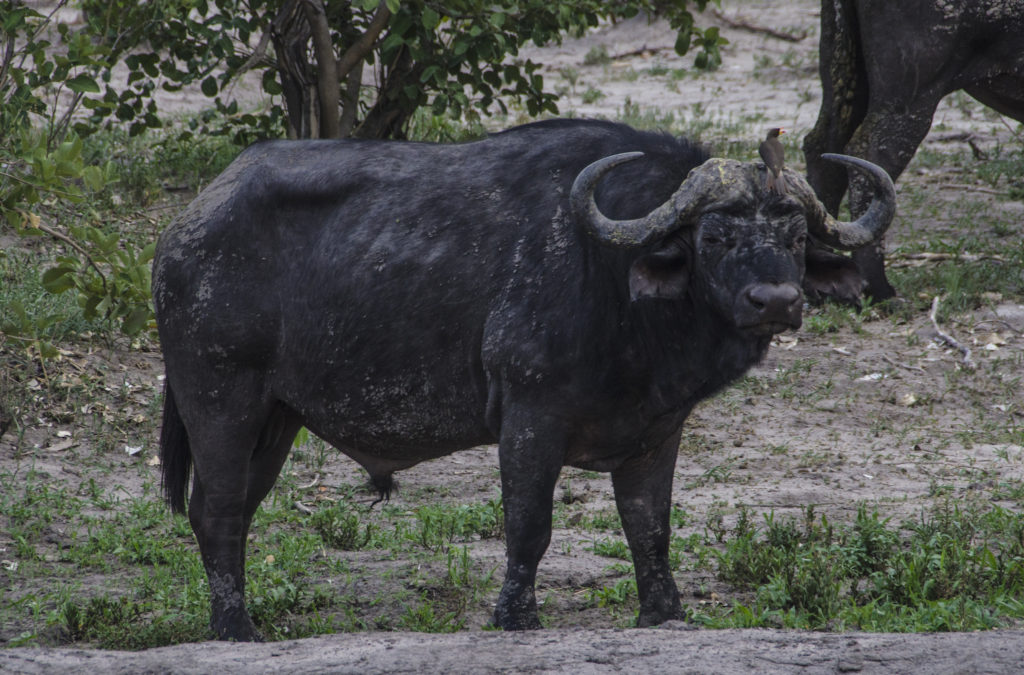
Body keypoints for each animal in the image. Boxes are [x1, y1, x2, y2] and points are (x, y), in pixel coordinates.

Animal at [153, 118, 897, 643]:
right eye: (714, 236)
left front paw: (664, 613)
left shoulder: (657, 434)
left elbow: (649, 527)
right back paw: (235, 630)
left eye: (795, 237)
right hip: (221, 401)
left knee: (230, 512)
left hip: (277, 418)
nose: (776, 300)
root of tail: (185, 226)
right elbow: (530, 523)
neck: (616, 287)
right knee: (218, 510)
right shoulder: (531, 417)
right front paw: (517, 615)